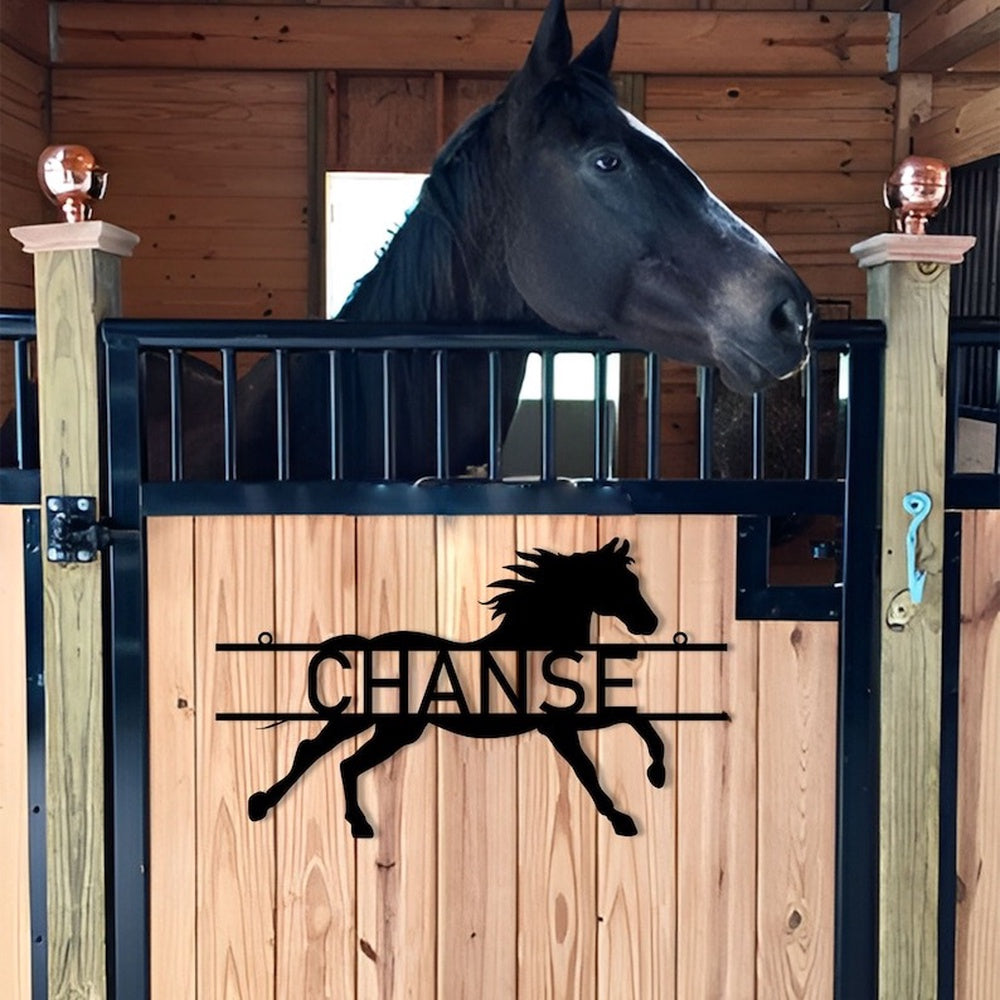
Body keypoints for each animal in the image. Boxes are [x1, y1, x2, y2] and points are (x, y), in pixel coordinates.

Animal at [245, 537, 669, 837]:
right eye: (614, 583)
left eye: (633, 581)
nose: (649, 623)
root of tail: (370, 645)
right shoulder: (556, 726)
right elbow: (587, 768)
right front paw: (623, 819)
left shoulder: (572, 718)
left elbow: (637, 721)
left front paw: (656, 775)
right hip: (384, 724)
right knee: (321, 753)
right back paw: (273, 808)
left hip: (392, 727)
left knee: (336, 759)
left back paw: (337, 820)